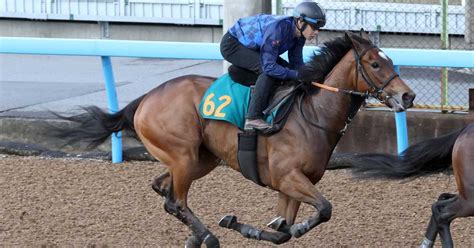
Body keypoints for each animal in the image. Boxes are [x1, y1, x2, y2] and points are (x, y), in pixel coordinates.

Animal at [50, 32, 414, 247]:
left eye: (390, 60)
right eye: (375, 63)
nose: (407, 96)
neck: (313, 114)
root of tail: (145, 99)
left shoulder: (291, 185)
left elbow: (281, 230)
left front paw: (261, 227)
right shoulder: (288, 177)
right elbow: (323, 209)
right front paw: (247, 224)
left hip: (202, 159)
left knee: (163, 189)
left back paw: (195, 237)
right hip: (183, 156)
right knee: (176, 200)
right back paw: (207, 237)